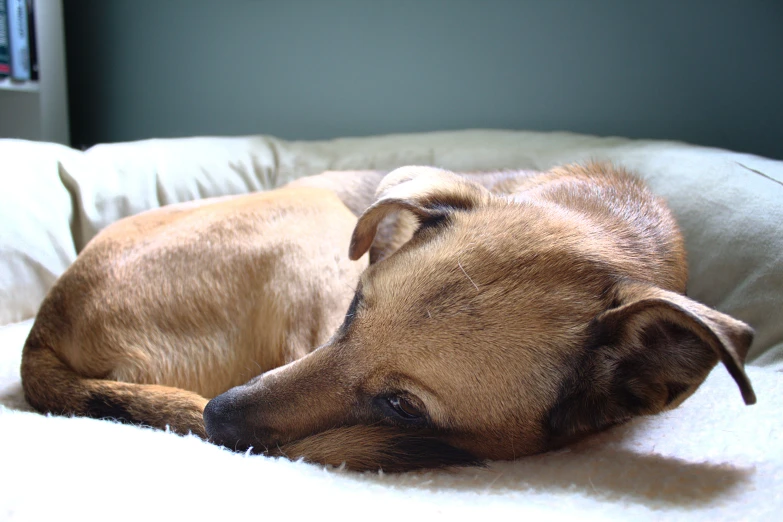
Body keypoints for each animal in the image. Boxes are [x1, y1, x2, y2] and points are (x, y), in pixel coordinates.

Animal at [18, 162, 756, 472]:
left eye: (403, 406)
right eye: (353, 310)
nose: (216, 417)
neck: (607, 223)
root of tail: (42, 333)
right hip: (310, 220)